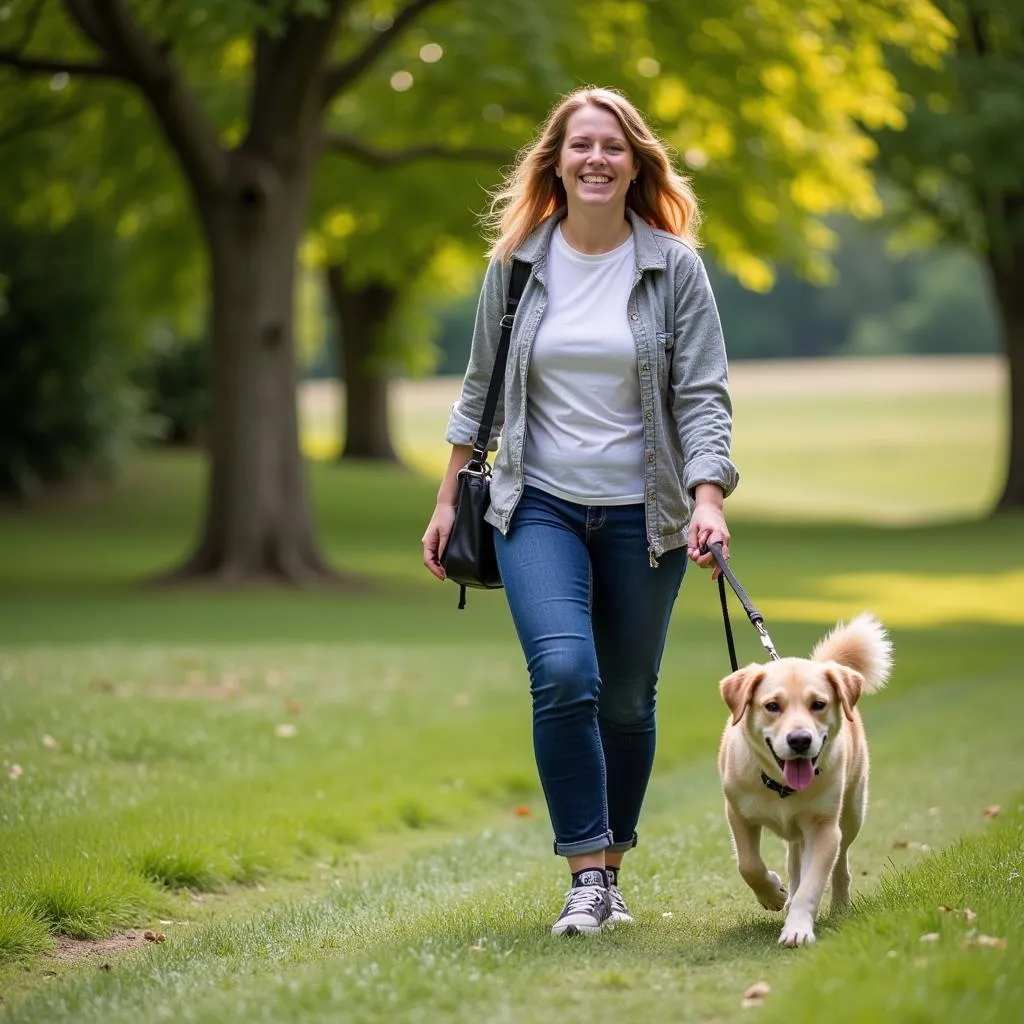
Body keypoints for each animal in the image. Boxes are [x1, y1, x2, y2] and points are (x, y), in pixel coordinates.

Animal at [716, 610, 892, 946]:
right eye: (772, 706)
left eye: (818, 704)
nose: (799, 740)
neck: (782, 788)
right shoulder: (737, 814)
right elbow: (749, 865)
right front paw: (772, 893)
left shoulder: (824, 828)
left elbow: (812, 885)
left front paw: (797, 928)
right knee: (795, 862)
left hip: (851, 813)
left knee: (840, 864)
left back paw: (838, 905)